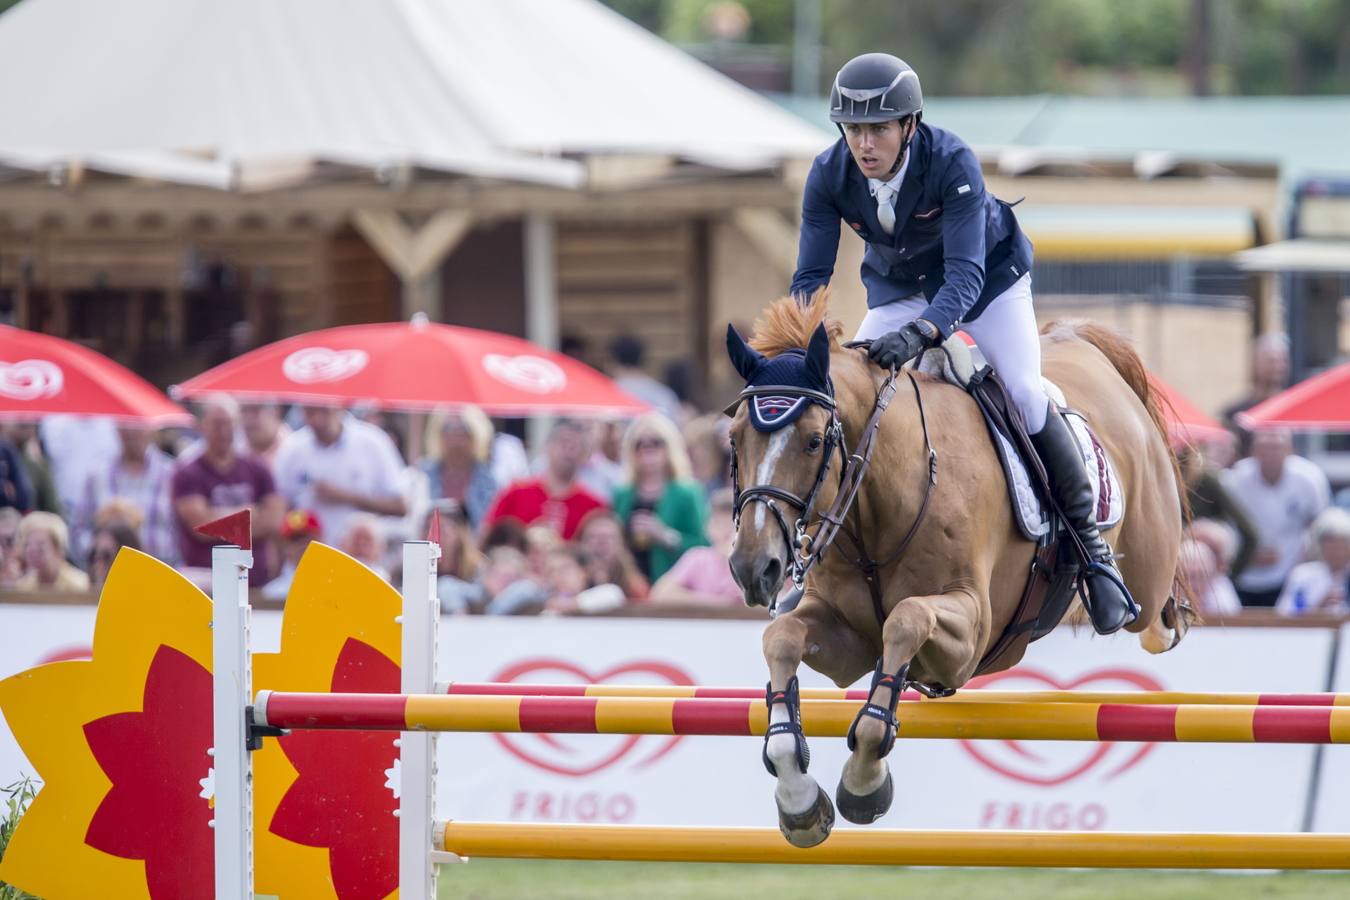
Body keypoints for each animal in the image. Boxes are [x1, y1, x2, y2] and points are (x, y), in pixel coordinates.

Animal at [729, 292, 1193, 847]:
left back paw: (1132, 603)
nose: (753, 568)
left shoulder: (971, 634)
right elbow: (781, 638)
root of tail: (1080, 342)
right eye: (734, 439)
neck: (881, 498)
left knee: (1152, 607)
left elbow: (905, 621)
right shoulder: (848, 641)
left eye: (814, 441)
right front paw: (797, 798)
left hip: (1149, 560)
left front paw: (864, 783)